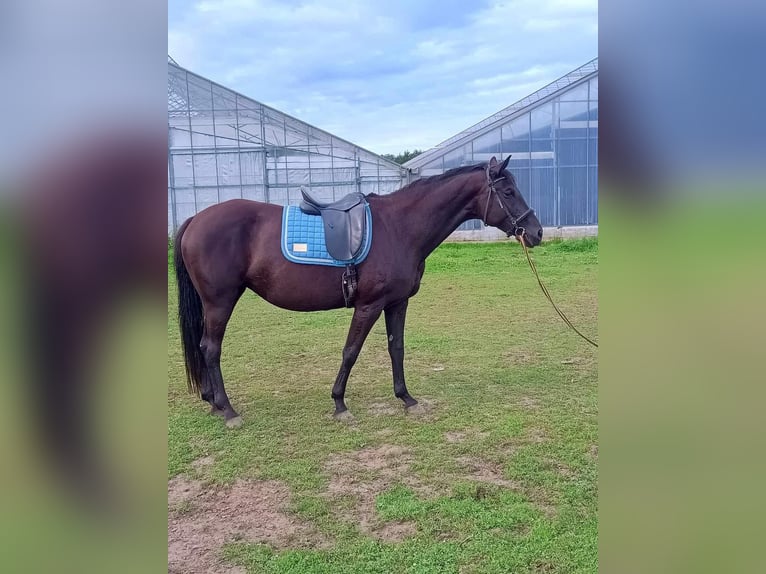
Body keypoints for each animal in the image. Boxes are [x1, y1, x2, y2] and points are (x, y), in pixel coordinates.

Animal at [176, 156, 544, 428]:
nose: (536, 232)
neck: (399, 228)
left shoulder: (397, 303)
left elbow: (397, 349)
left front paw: (406, 399)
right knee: (211, 348)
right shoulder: (369, 305)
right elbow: (350, 351)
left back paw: (213, 403)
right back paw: (229, 411)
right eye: (508, 191)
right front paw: (340, 404)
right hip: (220, 301)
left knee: (203, 346)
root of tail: (195, 219)